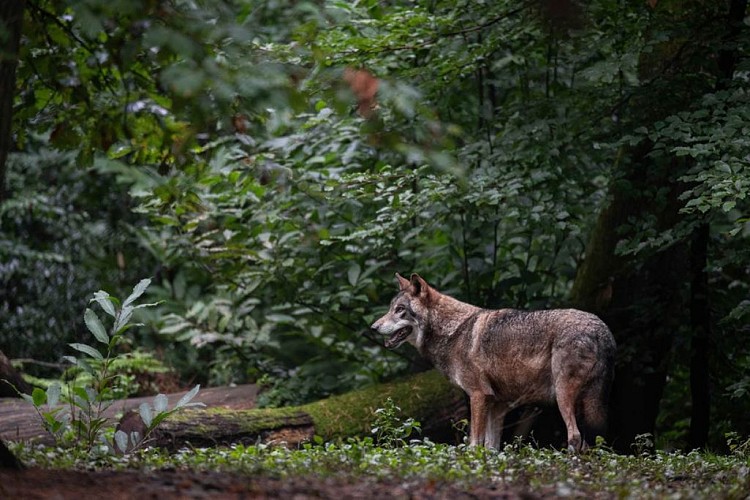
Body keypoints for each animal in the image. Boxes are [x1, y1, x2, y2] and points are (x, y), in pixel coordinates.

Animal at [370, 273, 616, 451]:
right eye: (390, 309)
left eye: (399, 310)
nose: (373, 327)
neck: (453, 332)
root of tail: (601, 330)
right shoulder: (498, 406)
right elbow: (491, 447)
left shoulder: (479, 396)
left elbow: (473, 444)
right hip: (588, 404)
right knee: (592, 440)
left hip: (563, 396)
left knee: (574, 437)